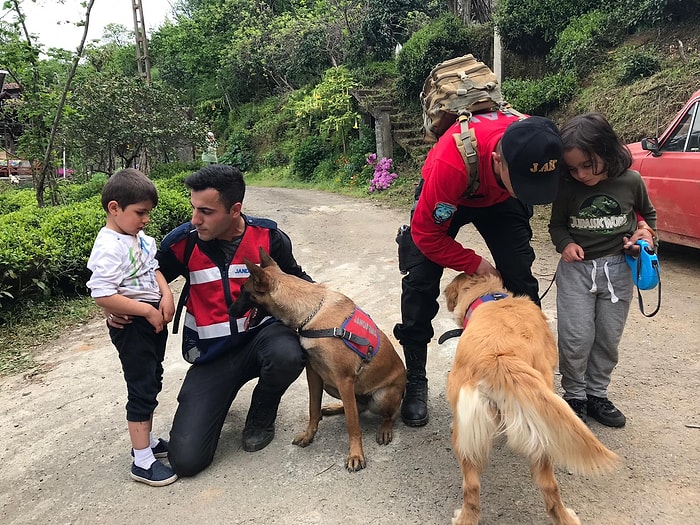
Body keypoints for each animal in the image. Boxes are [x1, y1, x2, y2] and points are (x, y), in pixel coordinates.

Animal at [230, 248, 404, 472]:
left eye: (244, 290)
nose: (230, 311)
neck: (311, 312)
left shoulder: (344, 379)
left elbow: (352, 423)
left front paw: (355, 454)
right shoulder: (313, 374)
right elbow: (313, 409)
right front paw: (308, 434)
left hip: (381, 396)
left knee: (387, 414)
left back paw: (384, 428)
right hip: (331, 386)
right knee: (355, 406)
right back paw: (335, 407)